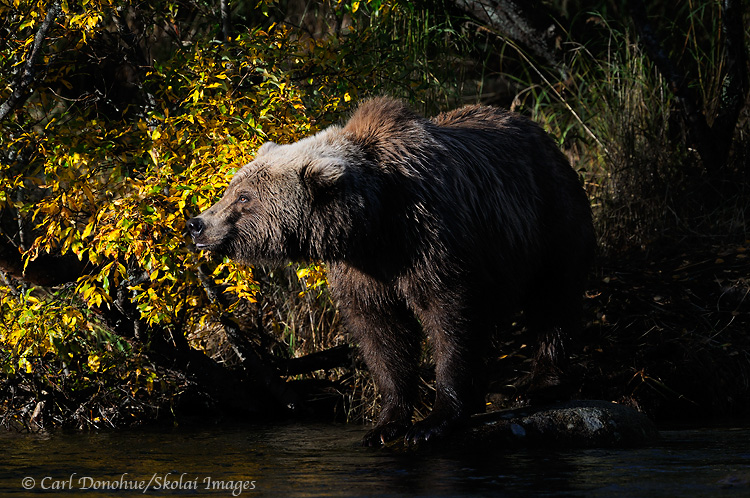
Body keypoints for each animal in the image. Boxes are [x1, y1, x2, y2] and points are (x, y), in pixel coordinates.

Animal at [187, 97, 595, 447]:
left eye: (244, 196)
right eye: (232, 186)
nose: (196, 224)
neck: (374, 223)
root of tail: (539, 131)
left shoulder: (430, 241)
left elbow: (449, 317)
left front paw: (432, 423)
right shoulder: (362, 270)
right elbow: (381, 332)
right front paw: (385, 425)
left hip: (549, 217)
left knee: (554, 297)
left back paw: (545, 383)